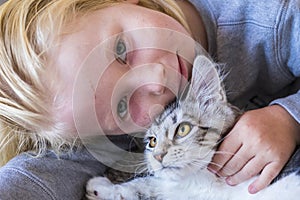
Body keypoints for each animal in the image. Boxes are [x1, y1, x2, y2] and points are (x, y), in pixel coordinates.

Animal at [85, 55, 298, 200]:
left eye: (183, 129)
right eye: (152, 142)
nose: (158, 156)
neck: (201, 181)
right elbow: (148, 183)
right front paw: (104, 188)